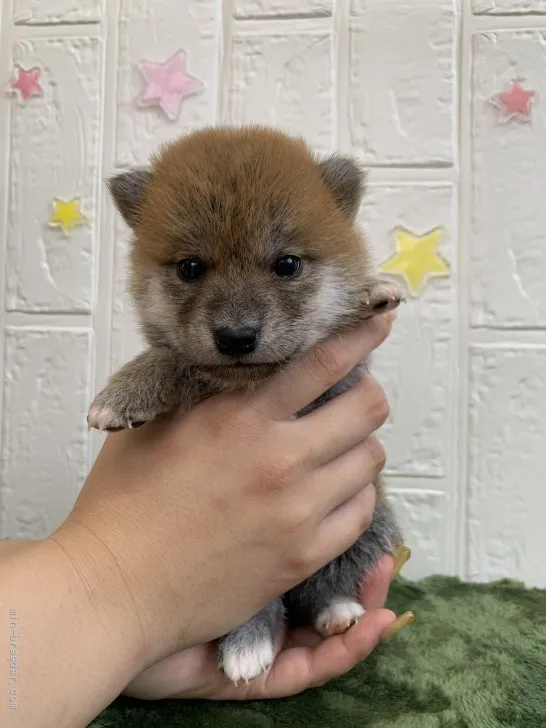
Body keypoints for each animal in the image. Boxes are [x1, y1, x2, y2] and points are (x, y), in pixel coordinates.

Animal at [89, 123, 402, 684]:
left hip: (369, 527)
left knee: (319, 584)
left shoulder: (340, 381)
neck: (242, 385)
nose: (236, 337)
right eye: (191, 268)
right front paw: (125, 390)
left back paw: (335, 611)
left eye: (287, 265)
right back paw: (250, 640)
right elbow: (171, 357)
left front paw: (370, 292)